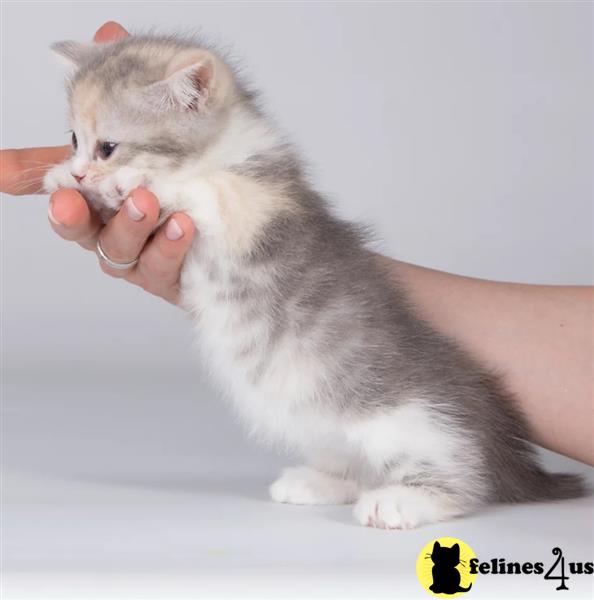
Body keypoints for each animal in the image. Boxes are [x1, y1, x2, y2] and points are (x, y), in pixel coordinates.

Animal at [45, 34, 584, 528]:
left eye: (108, 146)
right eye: (73, 140)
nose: (82, 171)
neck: (220, 151)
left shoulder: (254, 205)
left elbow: (203, 189)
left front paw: (132, 182)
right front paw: (61, 177)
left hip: (412, 422)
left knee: (462, 478)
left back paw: (403, 501)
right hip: (318, 417)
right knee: (354, 464)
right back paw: (317, 482)